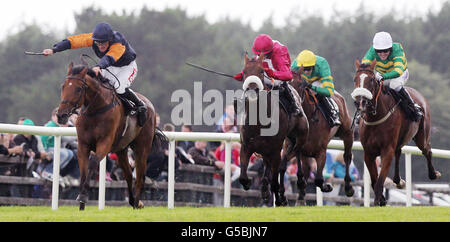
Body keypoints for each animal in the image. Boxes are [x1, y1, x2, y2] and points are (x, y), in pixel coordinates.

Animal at [56, 59, 167, 209]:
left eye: (78, 89)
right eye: (63, 86)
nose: (60, 115)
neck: (95, 110)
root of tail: (149, 105)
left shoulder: (105, 143)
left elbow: (93, 163)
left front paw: (83, 196)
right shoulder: (82, 145)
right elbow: (83, 171)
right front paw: (81, 205)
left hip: (142, 148)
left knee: (140, 177)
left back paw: (137, 203)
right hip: (121, 150)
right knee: (128, 175)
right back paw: (132, 201)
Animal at [237, 53, 308, 206]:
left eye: (261, 71)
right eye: (244, 72)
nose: (252, 90)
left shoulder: (275, 151)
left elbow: (275, 179)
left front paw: (281, 198)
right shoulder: (246, 146)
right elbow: (243, 177)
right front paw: (252, 185)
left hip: (300, 136)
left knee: (293, 154)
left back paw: (298, 184)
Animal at [286, 68, 356, 204]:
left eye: (300, 85)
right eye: (286, 86)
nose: (295, 107)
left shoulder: (321, 151)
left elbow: (318, 179)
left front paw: (327, 186)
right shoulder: (295, 146)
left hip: (347, 133)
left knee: (347, 157)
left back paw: (349, 187)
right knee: (307, 168)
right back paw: (301, 197)